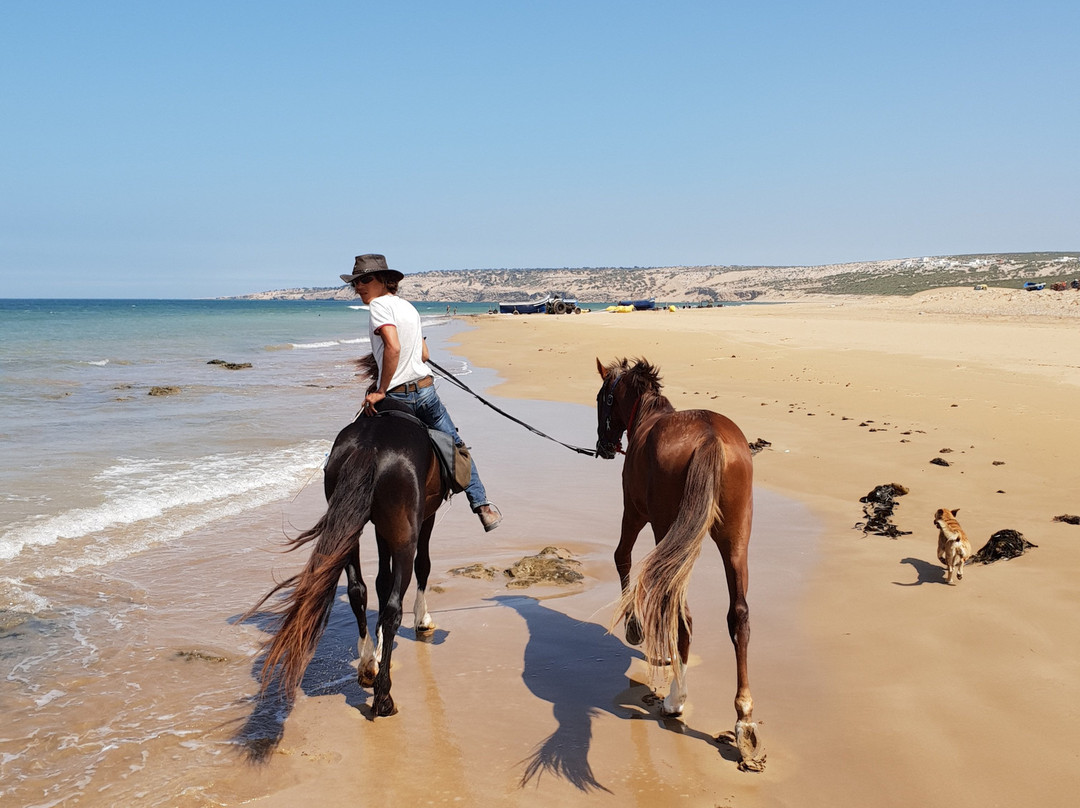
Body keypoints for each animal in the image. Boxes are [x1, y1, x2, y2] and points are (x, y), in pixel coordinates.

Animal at [244, 399, 445, 717]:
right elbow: (421, 567)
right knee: (393, 607)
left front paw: (376, 651)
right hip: (404, 535)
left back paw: (367, 665)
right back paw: (383, 698)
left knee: (357, 590)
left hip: (348, 532)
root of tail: (370, 446)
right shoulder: (426, 517)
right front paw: (422, 619)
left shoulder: (379, 528)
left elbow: (380, 581)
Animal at [595, 357, 765, 771]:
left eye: (602, 399)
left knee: (680, 608)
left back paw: (675, 700)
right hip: (736, 539)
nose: (603, 446)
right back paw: (744, 720)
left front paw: (635, 629)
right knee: (739, 615)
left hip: (664, 528)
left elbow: (621, 556)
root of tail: (710, 437)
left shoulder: (633, 511)